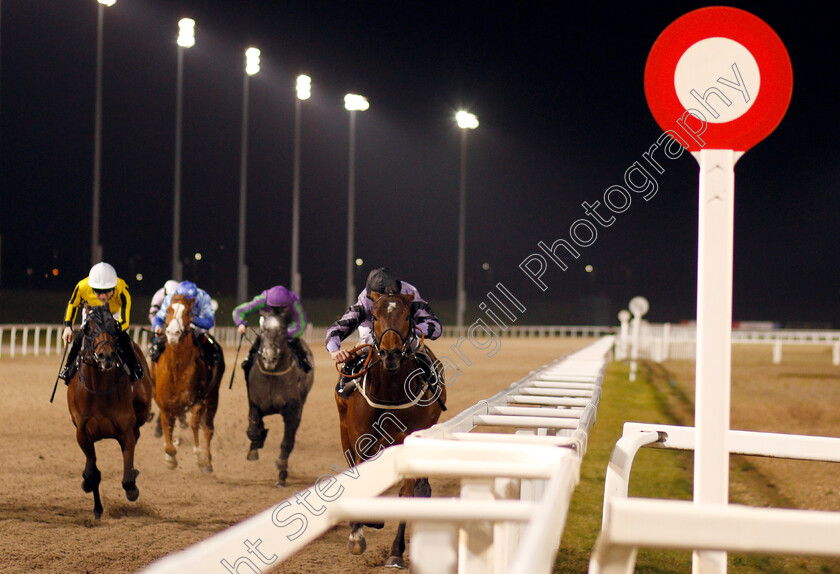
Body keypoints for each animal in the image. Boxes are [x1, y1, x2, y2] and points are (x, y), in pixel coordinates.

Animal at [65, 306, 153, 520]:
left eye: (114, 326)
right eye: (88, 327)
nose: (107, 355)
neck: (99, 390)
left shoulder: (126, 430)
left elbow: (127, 477)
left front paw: (132, 487)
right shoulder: (82, 434)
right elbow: (93, 474)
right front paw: (97, 508)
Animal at [149, 294, 223, 474]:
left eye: (188, 312)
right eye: (168, 310)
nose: (173, 333)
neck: (177, 369)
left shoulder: (197, 401)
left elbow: (195, 424)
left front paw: (199, 456)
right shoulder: (165, 404)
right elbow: (167, 427)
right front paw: (170, 457)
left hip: (213, 397)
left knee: (207, 429)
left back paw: (207, 462)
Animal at [244, 306, 314, 486]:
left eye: (282, 331)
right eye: (263, 330)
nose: (269, 357)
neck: (272, 375)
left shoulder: (292, 411)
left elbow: (287, 442)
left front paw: (281, 468)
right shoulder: (255, 404)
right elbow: (253, 430)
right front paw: (256, 445)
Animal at [334, 294, 446, 568]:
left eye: (407, 316)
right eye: (374, 316)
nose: (391, 354)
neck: (391, 392)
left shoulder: (408, 443)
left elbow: (405, 494)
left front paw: (395, 552)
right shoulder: (361, 441)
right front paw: (357, 534)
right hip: (345, 432)